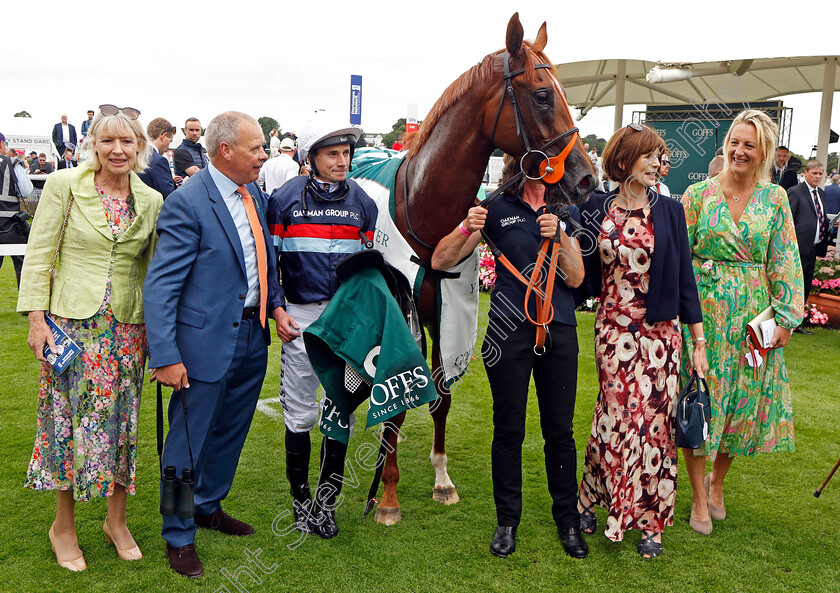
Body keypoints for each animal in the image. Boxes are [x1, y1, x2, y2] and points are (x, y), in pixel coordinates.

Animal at [368, 12, 596, 524]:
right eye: (542, 95)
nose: (587, 179)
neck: (425, 213)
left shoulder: (445, 312)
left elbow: (440, 394)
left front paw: (441, 478)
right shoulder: (402, 313)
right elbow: (397, 401)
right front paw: (387, 497)